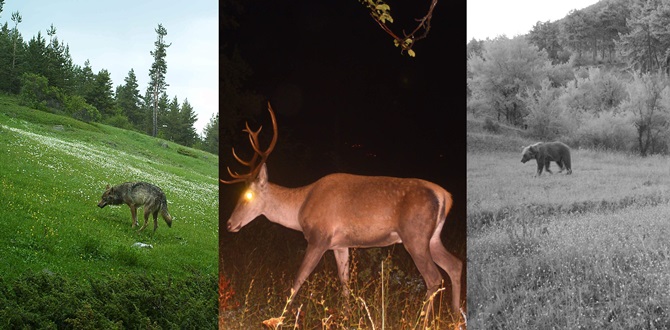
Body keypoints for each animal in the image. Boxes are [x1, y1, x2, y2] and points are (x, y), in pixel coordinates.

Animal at [223, 102, 464, 320]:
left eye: (248, 195)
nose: (229, 224)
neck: (300, 209)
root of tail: (445, 196)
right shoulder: (340, 244)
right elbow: (344, 281)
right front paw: (347, 317)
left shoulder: (319, 238)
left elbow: (298, 279)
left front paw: (278, 318)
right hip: (431, 237)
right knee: (455, 265)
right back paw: (455, 315)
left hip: (415, 235)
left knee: (434, 277)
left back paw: (422, 320)